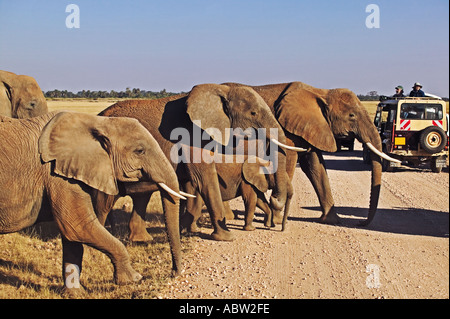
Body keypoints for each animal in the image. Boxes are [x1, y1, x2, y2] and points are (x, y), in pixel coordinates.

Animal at [0, 111, 185, 294]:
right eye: (140, 151)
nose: (174, 273)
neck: (97, 122)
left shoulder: (68, 171)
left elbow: (72, 237)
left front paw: (75, 294)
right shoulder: (57, 176)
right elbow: (77, 226)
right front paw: (133, 279)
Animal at [98, 84, 302, 242]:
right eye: (253, 113)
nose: (275, 197)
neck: (221, 90)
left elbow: (193, 183)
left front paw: (188, 230)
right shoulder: (191, 137)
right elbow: (205, 179)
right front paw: (226, 237)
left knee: (139, 197)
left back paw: (141, 240)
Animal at [221, 82, 400, 228]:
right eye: (352, 116)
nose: (360, 223)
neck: (321, 93)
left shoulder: (313, 126)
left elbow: (315, 166)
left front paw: (332, 221)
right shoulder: (288, 130)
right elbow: (290, 162)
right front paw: (277, 220)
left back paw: (229, 216)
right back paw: (228, 216)